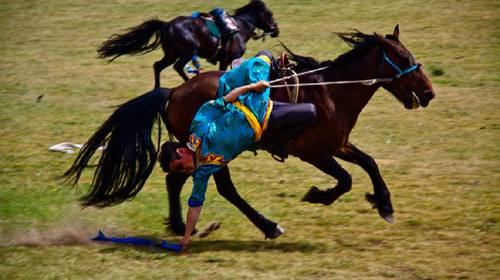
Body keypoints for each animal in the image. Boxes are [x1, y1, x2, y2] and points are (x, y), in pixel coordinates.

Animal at [66, 26, 434, 240]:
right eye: (403, 57)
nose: (430, 93)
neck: (331, 91)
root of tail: (173, 92)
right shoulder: (312, 151)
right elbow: (345, 180)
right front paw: (318, 195)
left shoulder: (338, 144)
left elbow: (370, 163)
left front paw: (384, 204)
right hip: (210, 152)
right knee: (221, 188)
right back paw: (268, 227)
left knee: (176, 180)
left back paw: (183, 226)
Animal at [95, 0, 280, 85]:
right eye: (270, 14)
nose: (276, 30)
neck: (238, 27)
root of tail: (166, 25)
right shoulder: (230, 59)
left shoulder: (224, 60)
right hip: (187, 52)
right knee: (177, 67)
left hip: (172, 53)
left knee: (158, 66)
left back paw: (157, 88)